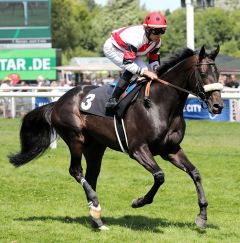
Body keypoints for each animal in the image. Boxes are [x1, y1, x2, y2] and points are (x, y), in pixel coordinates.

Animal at [8, 45, 223, 230]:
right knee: (76, 171)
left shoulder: (170, 149)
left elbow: (195, 173)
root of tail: (58, 101)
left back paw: (96, 217)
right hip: (75, 138)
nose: (218, 106)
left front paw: (202, 216)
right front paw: (139, 201)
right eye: (203, 74)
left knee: (91, 176)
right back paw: (95, 205)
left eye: (219, 73)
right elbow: (159, 176)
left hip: (95, 147)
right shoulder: (138, 149)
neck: (159, 104)